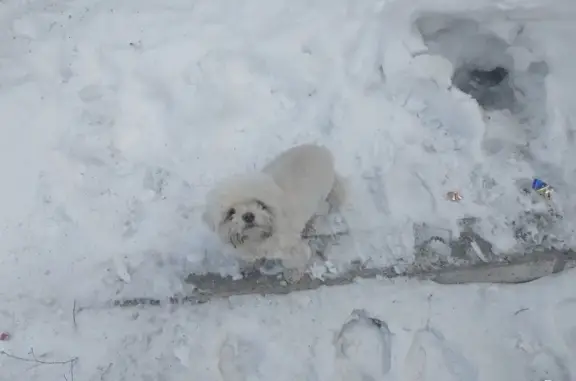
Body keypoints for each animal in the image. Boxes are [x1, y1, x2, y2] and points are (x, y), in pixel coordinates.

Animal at [202, 144, 342, 280]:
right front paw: (250, 266)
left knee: (324, 208)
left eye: (260, 203)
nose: (248, 216)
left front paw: (293, 273)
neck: (259, 238)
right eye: (231, 212)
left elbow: (294, 260)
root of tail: (320, 148)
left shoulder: (290, 245)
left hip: (319, 198)